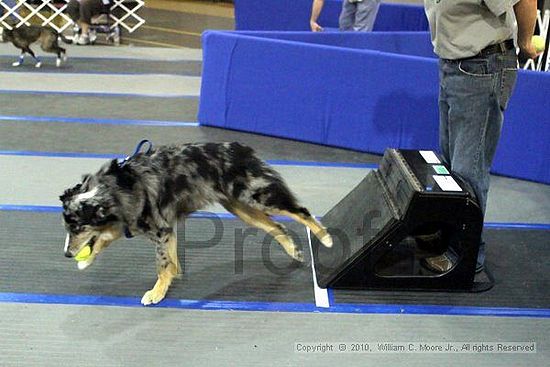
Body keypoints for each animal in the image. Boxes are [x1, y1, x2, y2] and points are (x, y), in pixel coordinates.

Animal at [62, 142, 334, 306]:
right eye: (68, 228)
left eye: (77, 228)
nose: (66, 254)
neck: (113, 192)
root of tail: (241, 148)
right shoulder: (156, 228)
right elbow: (108, 240)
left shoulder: (160, 229)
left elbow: (162, 264)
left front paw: (157, 292)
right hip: (240, 207)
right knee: (277, 227)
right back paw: (295, 251)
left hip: (255, 197)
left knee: (300, 211)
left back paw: (325, 237)